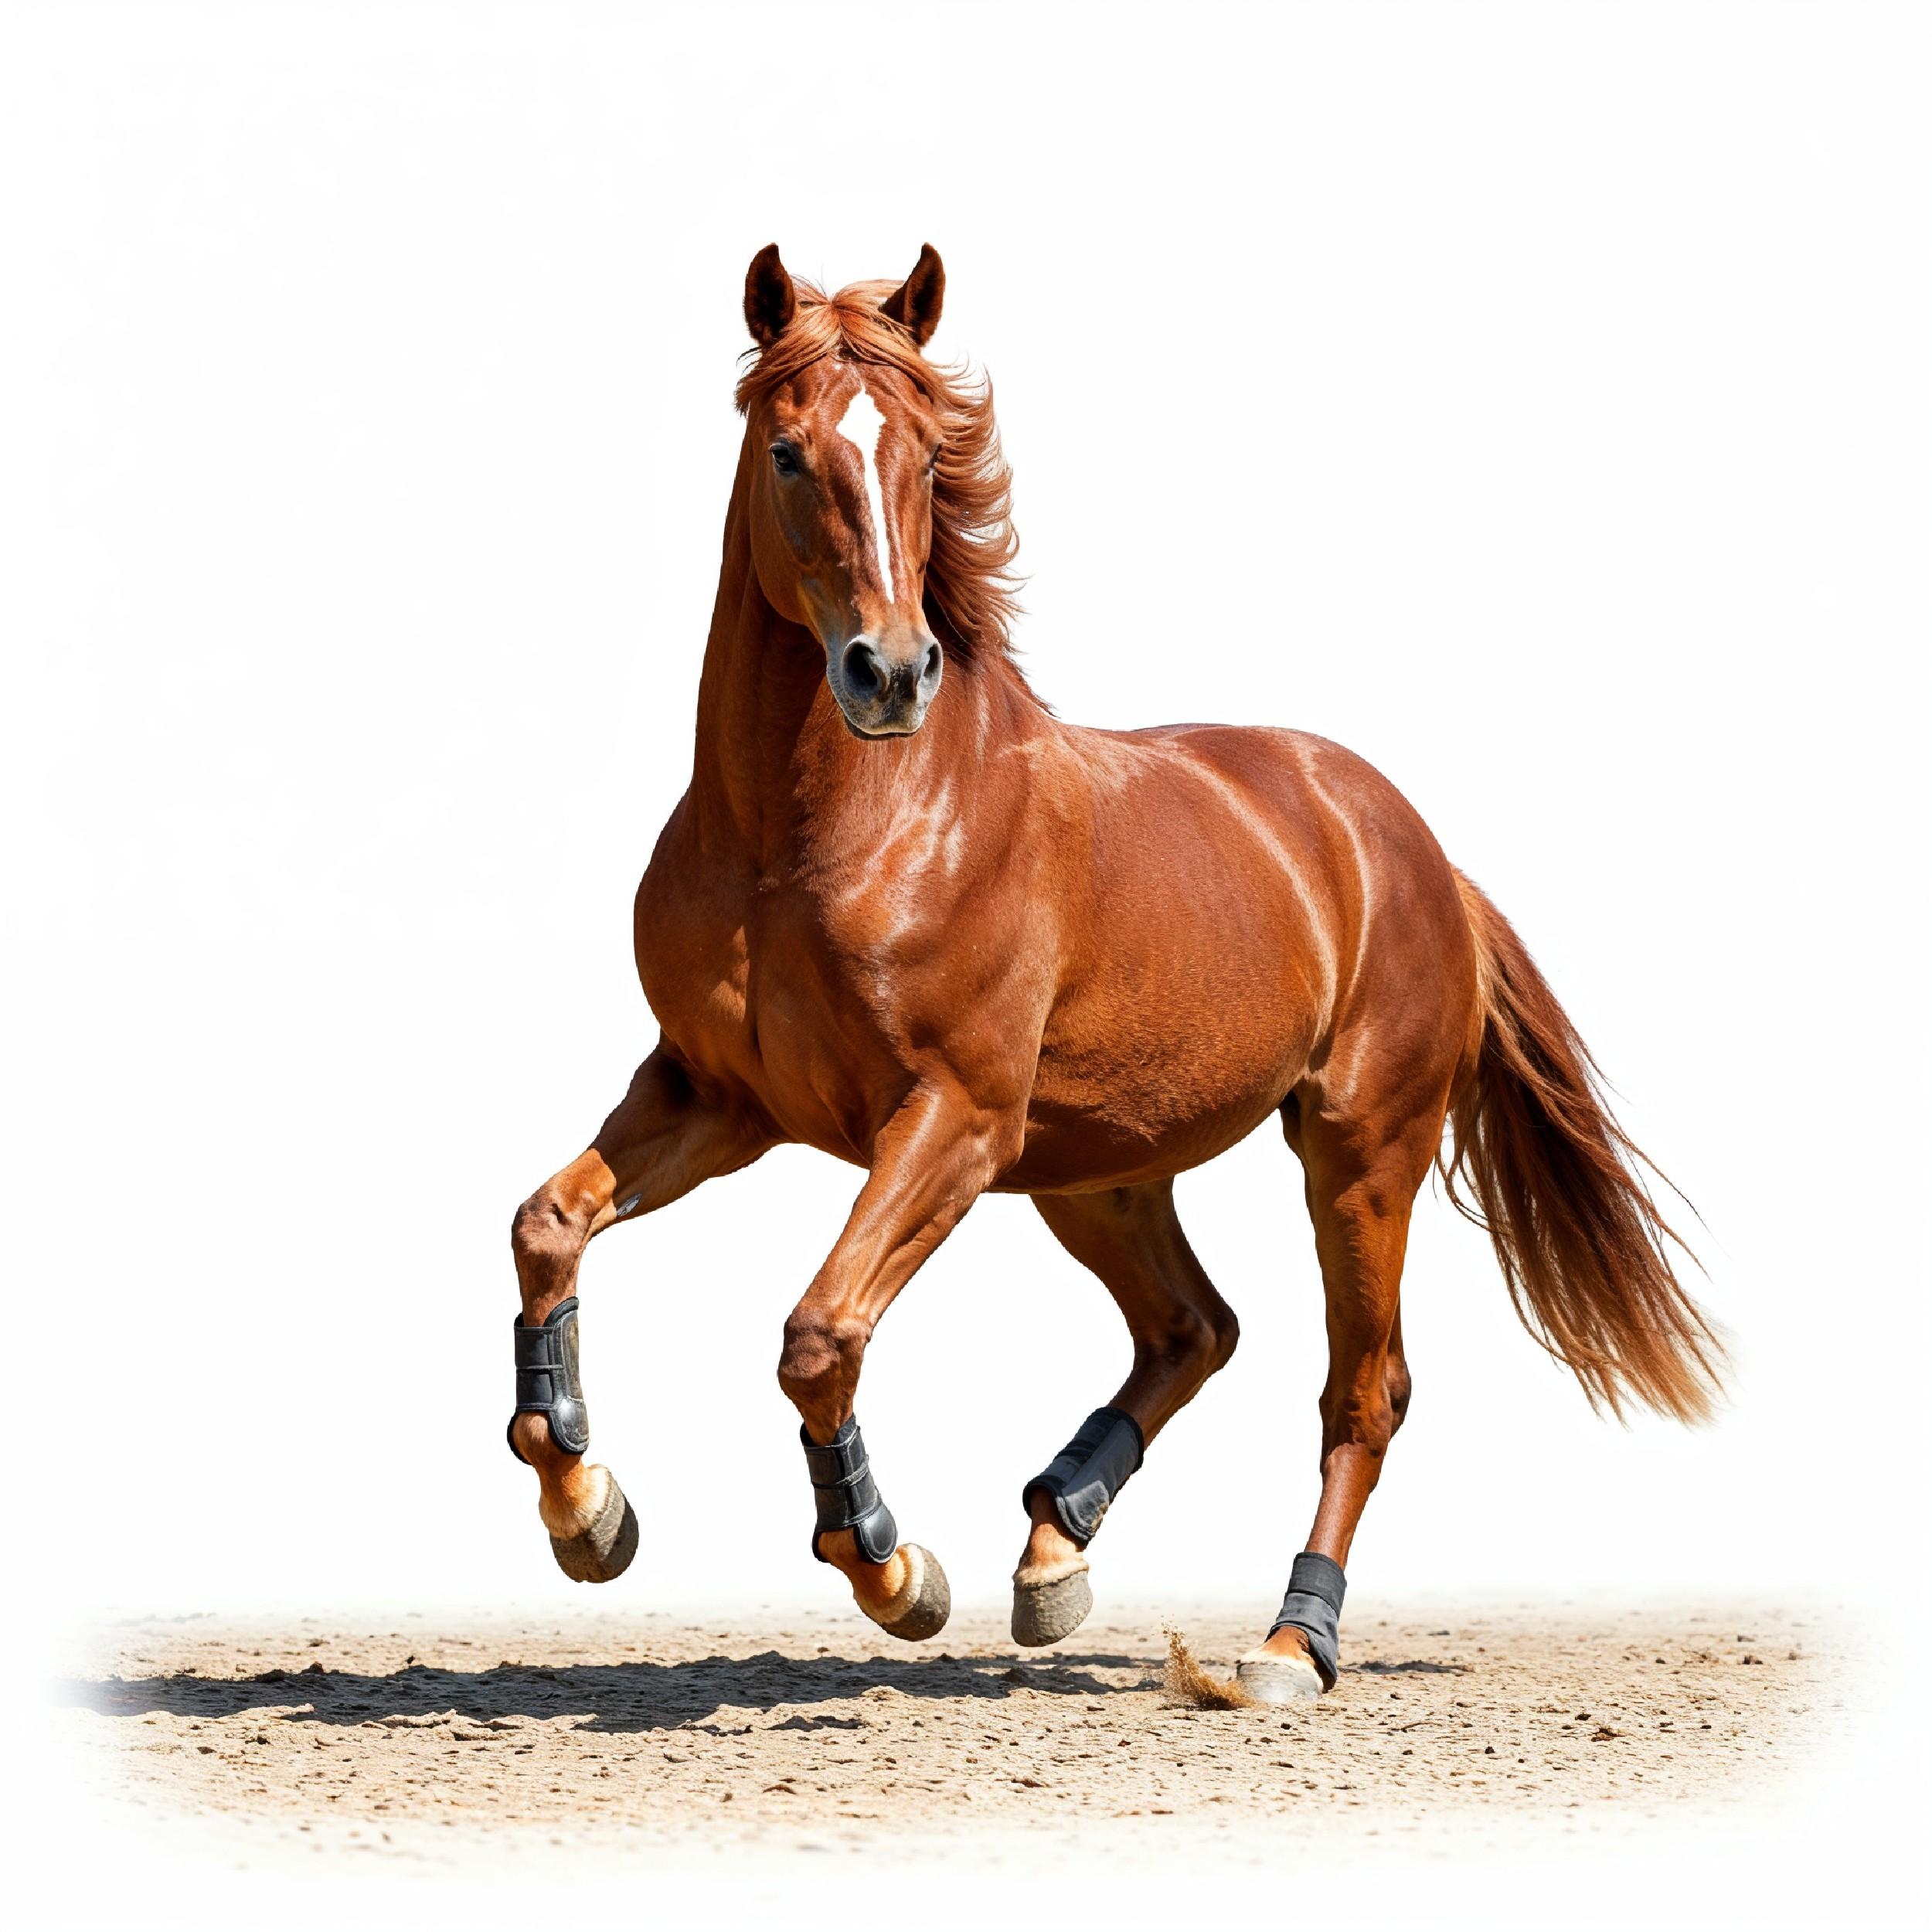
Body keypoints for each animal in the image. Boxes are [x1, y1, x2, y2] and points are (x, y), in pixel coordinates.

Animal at [506, 244, 1721, 1701]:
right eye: (789, 452)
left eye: (924, 454)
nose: (890, 672)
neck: (813, 835)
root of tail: (1414, 850)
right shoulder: (713, 1097)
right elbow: (546, 1227)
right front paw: (586, 1510)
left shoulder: (951, 1118)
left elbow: (820, 1334)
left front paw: (894, 1573)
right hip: (1095, 1169)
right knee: (1196, 1327)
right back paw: (1056, 1546)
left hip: (1355, 1152)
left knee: (1362, 1388)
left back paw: (1287, 1643)